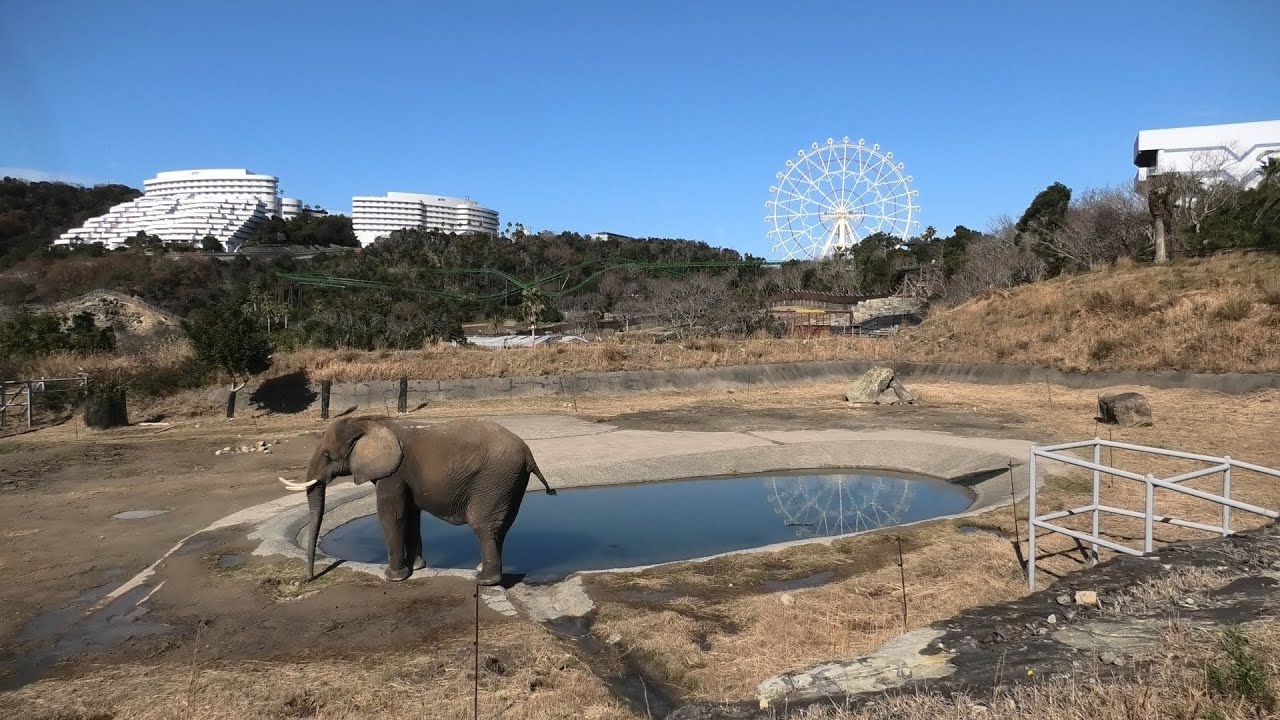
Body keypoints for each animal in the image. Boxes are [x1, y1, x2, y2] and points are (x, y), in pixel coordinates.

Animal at [278, 415, 555, 585]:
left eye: (327, 455)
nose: (309, 579)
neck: (369, 422)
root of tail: (528, 453)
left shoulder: (392, 472)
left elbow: (391, 514)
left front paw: (393, 577)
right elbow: (410, 513)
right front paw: (418, 567)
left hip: (494, 480)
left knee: (484, 526)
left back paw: (485, 580)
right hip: (509, 482)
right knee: (501, 527)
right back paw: (481, 570)